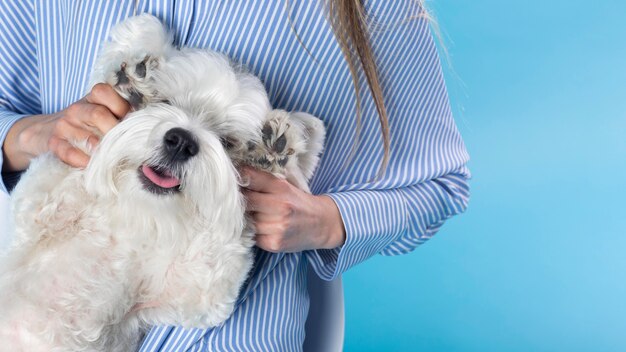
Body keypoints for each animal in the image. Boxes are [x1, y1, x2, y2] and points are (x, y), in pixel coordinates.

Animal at [1, 14, 326, 352]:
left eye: (227, 142)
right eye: (166, 101)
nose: (181, 142)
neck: (134, 218)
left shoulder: (196, 290)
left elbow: (226, 241)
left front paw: (278, 148)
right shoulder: (36, 208)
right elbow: (75, 166)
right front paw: (133, 67)